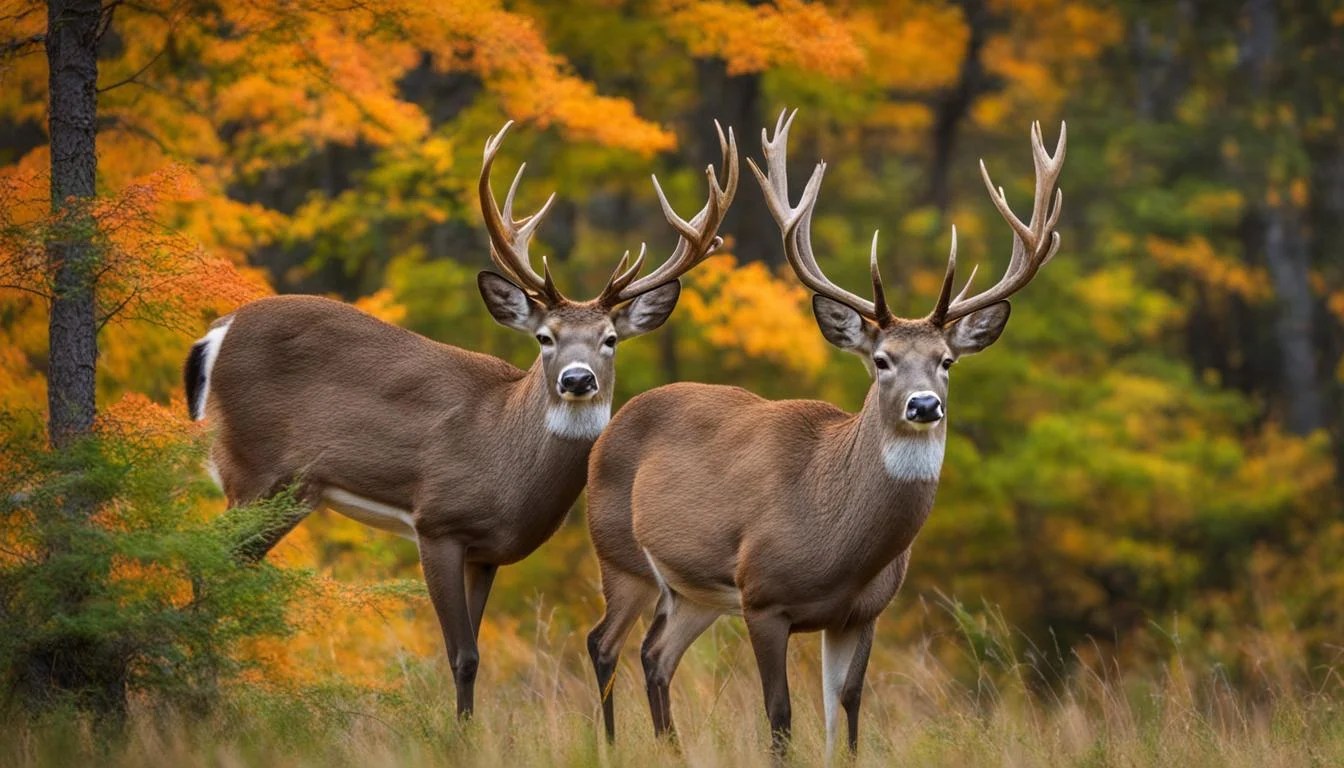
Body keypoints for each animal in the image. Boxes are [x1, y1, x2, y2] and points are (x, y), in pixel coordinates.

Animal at [183, 120, 738, 718]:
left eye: (610, 339)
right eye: (545, 338)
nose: (577, 379)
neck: (507, 463)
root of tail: (215, 334)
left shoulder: (486, 552)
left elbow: (474, 653)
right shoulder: (437, 520)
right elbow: (461, 655)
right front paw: (459, 731)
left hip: (289, 491)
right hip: (251, 468)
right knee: (204, 560)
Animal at [584, 111, 1064, 755]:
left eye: (946, 361)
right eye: (882, 360)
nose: (924, 405)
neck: (839, 542)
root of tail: (611, 427)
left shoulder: (861, 613)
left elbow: (848, 711)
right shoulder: (763, 596)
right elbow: (780, 713)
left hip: (693, 592)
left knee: (655, 655)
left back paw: (672, 751)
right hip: (620, 555)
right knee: (606, 642)